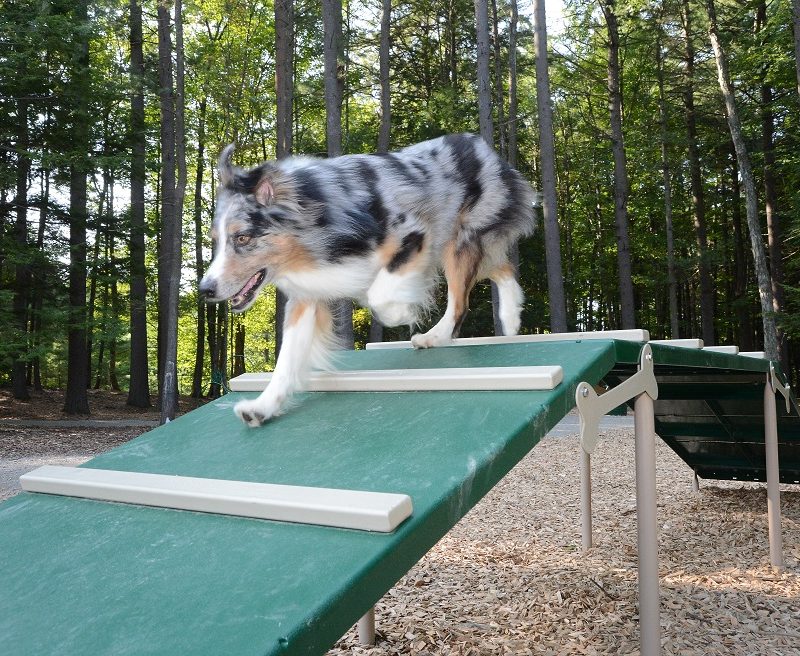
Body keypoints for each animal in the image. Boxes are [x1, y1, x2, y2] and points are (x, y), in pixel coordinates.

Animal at [199, 135, 536, 430]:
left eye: (242, 238)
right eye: (215, 241)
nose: (205, 290)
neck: (314, 221)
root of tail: (479, 145)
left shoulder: (412, 235)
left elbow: (380, 296)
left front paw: (403, 311)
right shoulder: (307, 294)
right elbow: (287, 359)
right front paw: (262, 407)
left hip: (458, 239)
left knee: (461, 300)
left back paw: (440, 334)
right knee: (500, 267)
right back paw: (509, 317)